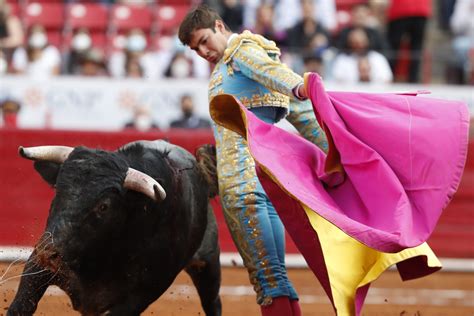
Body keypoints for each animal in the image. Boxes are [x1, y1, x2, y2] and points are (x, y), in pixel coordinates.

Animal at [7, 140, 222, 316]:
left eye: (104, 206)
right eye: (58, 191)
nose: (47, 252)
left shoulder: (140, 296)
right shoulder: (39, 266)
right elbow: (21, 305)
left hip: (208, 263)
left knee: (212, 301)